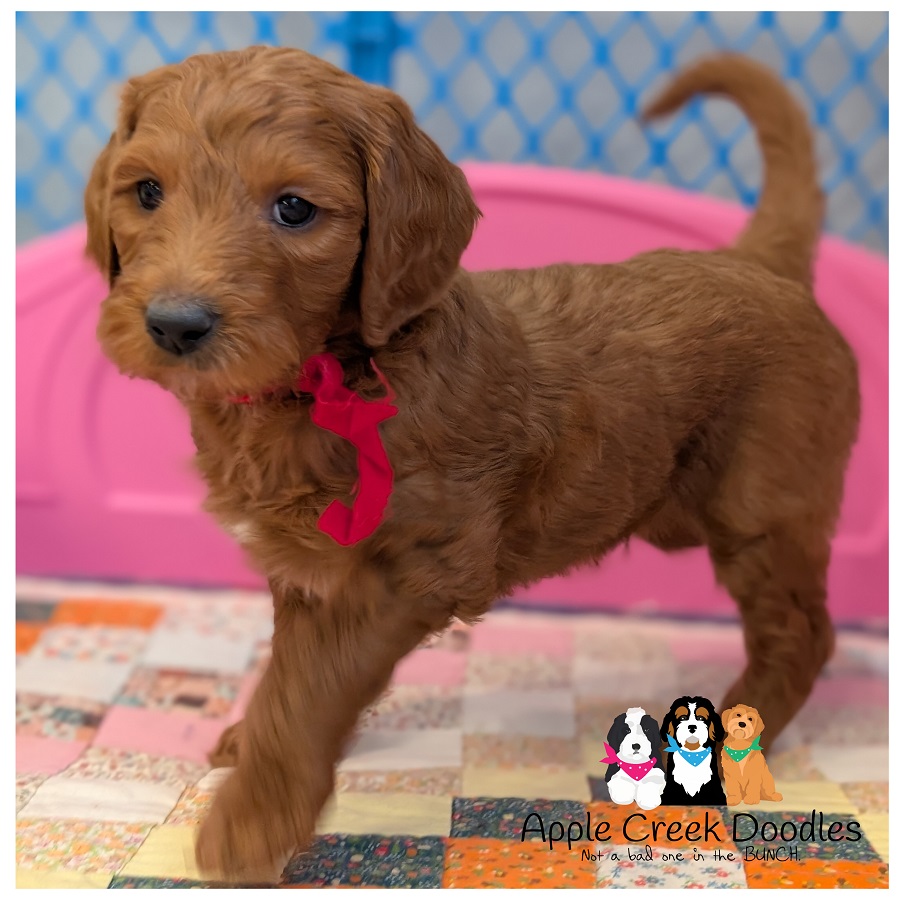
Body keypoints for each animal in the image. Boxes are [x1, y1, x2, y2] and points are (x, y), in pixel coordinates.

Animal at [85, 47, 859, 876]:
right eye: (147, 191)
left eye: (293, 209)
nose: (174, 324)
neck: (331, 376)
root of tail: (757, 262)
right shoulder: (304, 569)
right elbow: (289, 670)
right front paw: (252, 747)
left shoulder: (419, 565)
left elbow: (310, 687)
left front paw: (253, 816)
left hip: (766, 510)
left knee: (801, 635)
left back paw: (724, 750)